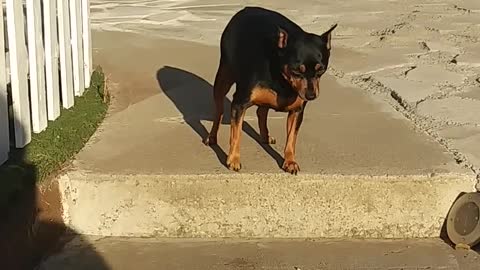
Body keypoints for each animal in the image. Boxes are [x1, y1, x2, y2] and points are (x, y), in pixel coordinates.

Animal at [204, 6, 336, 175]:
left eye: (321, 70)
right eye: (296, 71)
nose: (311, 95)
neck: (283, 80)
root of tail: (246, 8)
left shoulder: (297, 111)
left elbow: (291, 139)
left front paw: (290, 162)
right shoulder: (239, 104)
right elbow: (236, 134)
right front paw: (233, 159)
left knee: (261, 111)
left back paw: (265, 136)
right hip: (224, 77)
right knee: (219, 110)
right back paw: (212, 137)